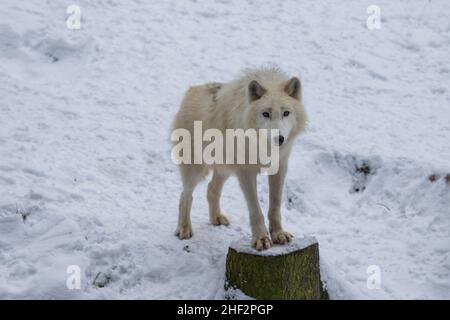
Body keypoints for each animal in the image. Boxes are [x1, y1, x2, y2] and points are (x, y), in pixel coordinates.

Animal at [171, 67, 306, 250]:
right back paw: (184, 228)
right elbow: (256, 210)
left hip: (225, 169)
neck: (262, 146)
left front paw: (278, 234)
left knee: (211, 189)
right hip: (196, 170)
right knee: (185, 196)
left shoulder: (280, 168)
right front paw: (261, 239)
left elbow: (275, 207)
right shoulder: (245, 173)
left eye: (286, 113)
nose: (279, 139)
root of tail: (191, 90)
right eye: (265, 114)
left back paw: (216, 218)